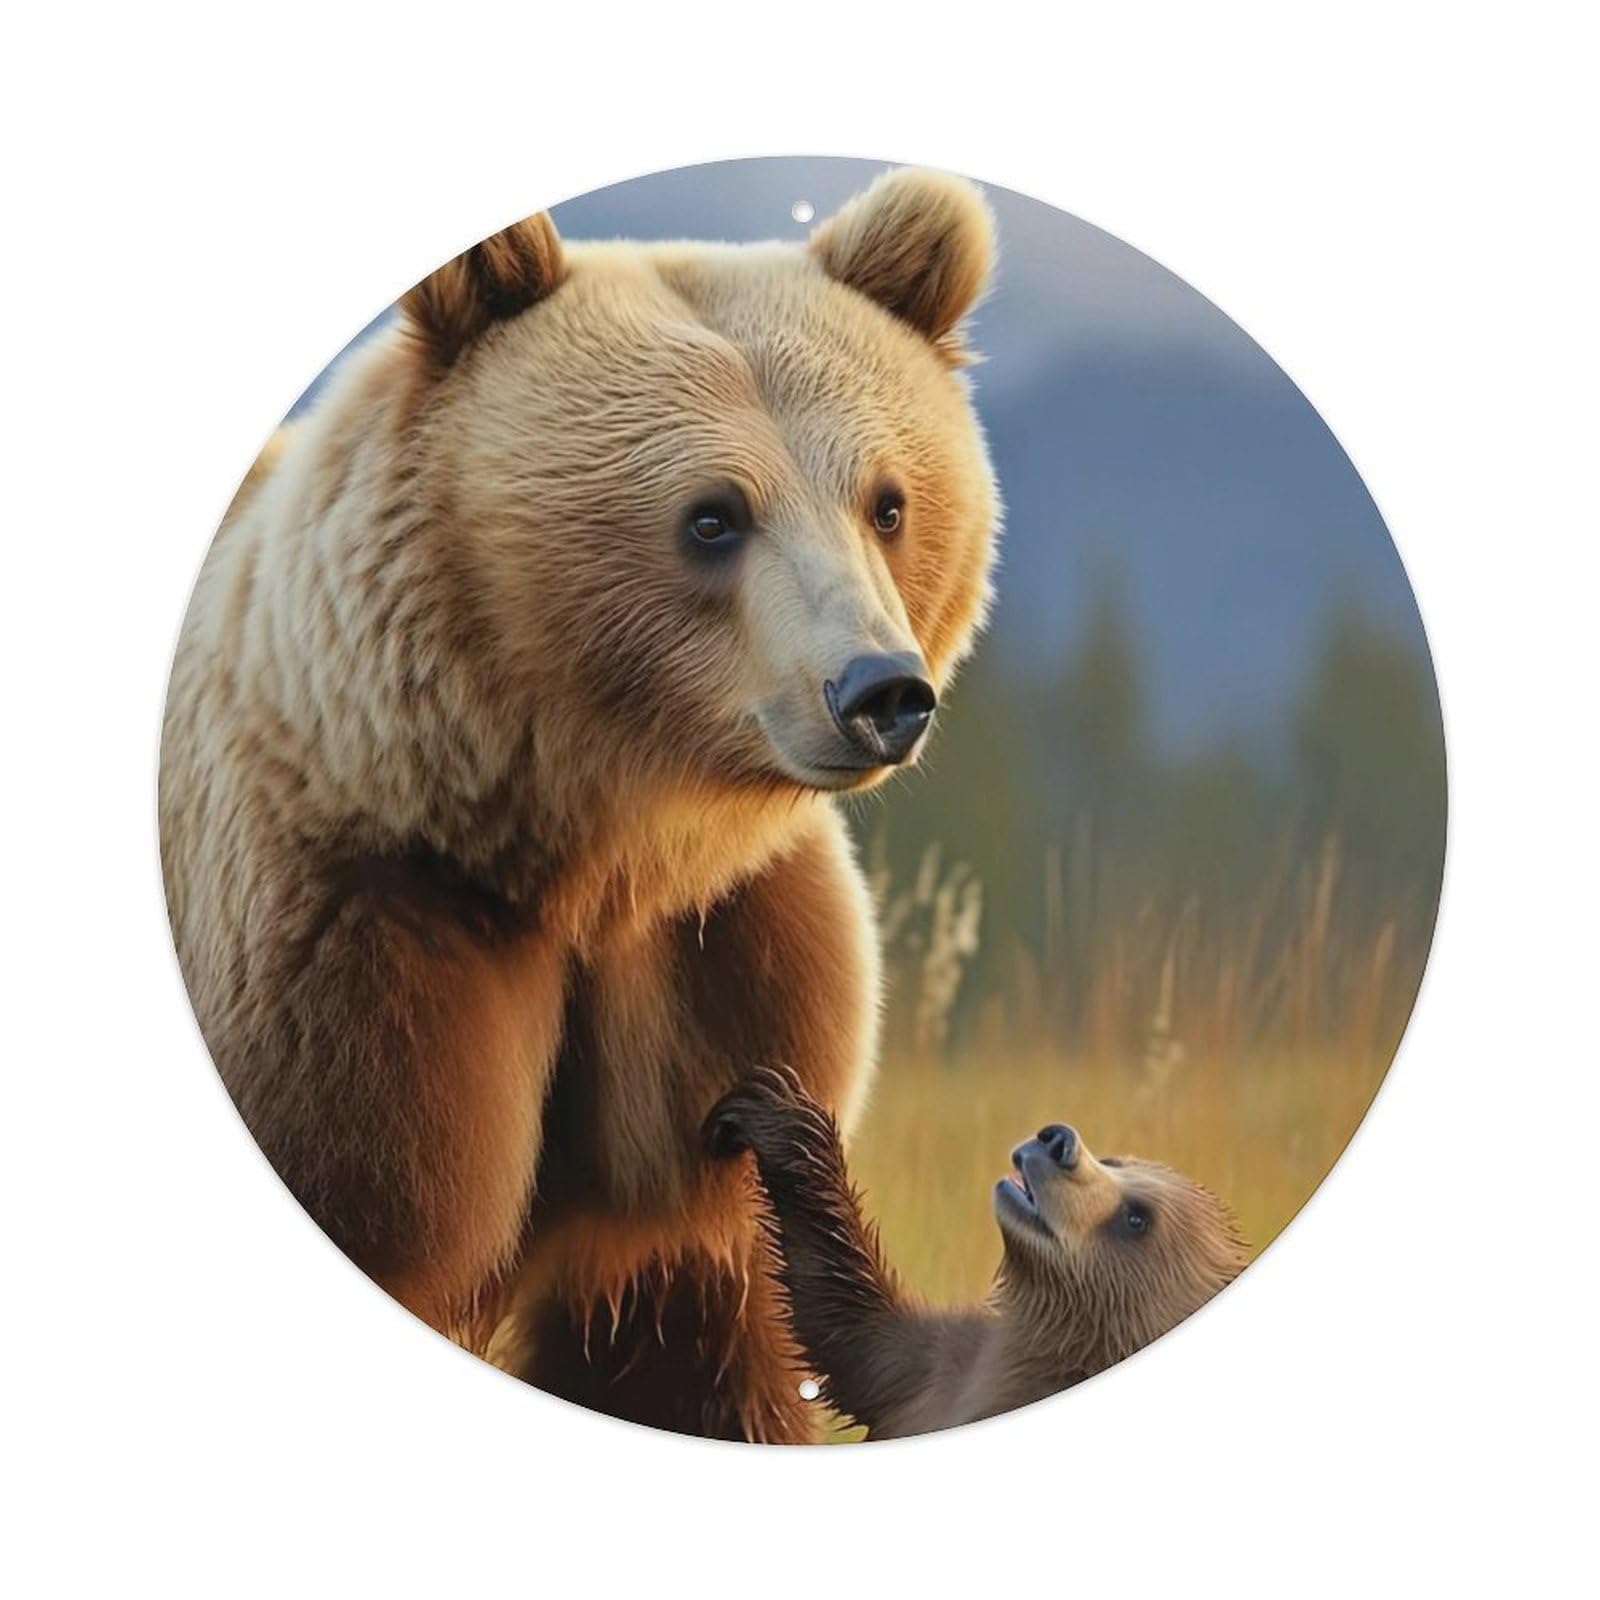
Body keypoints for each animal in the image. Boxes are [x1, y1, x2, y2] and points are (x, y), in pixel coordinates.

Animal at [159, 168, 1000, 1440]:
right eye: (713, 514)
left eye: (887, 501)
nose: (878, 691)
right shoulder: (357, 944)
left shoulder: (714, 966)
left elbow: (687, 1336)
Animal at [704, 1065, 1248, 1439]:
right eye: (1116, 1160)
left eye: (1137, 1218)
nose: (1057, 1139)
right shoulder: (937, 1365)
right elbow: (850, 1322)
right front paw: (776, 1113)